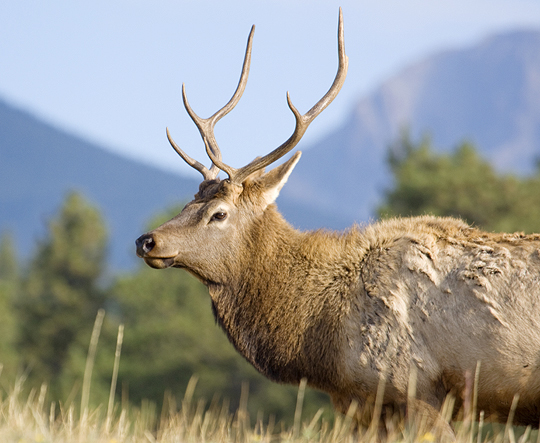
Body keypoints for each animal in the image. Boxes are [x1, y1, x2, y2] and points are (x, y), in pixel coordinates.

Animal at [136, 9, 540, 440]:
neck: (320, 338)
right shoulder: (369, 406)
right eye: (188, 201)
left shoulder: (418, 389)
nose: (147, 241)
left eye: (219, 213)